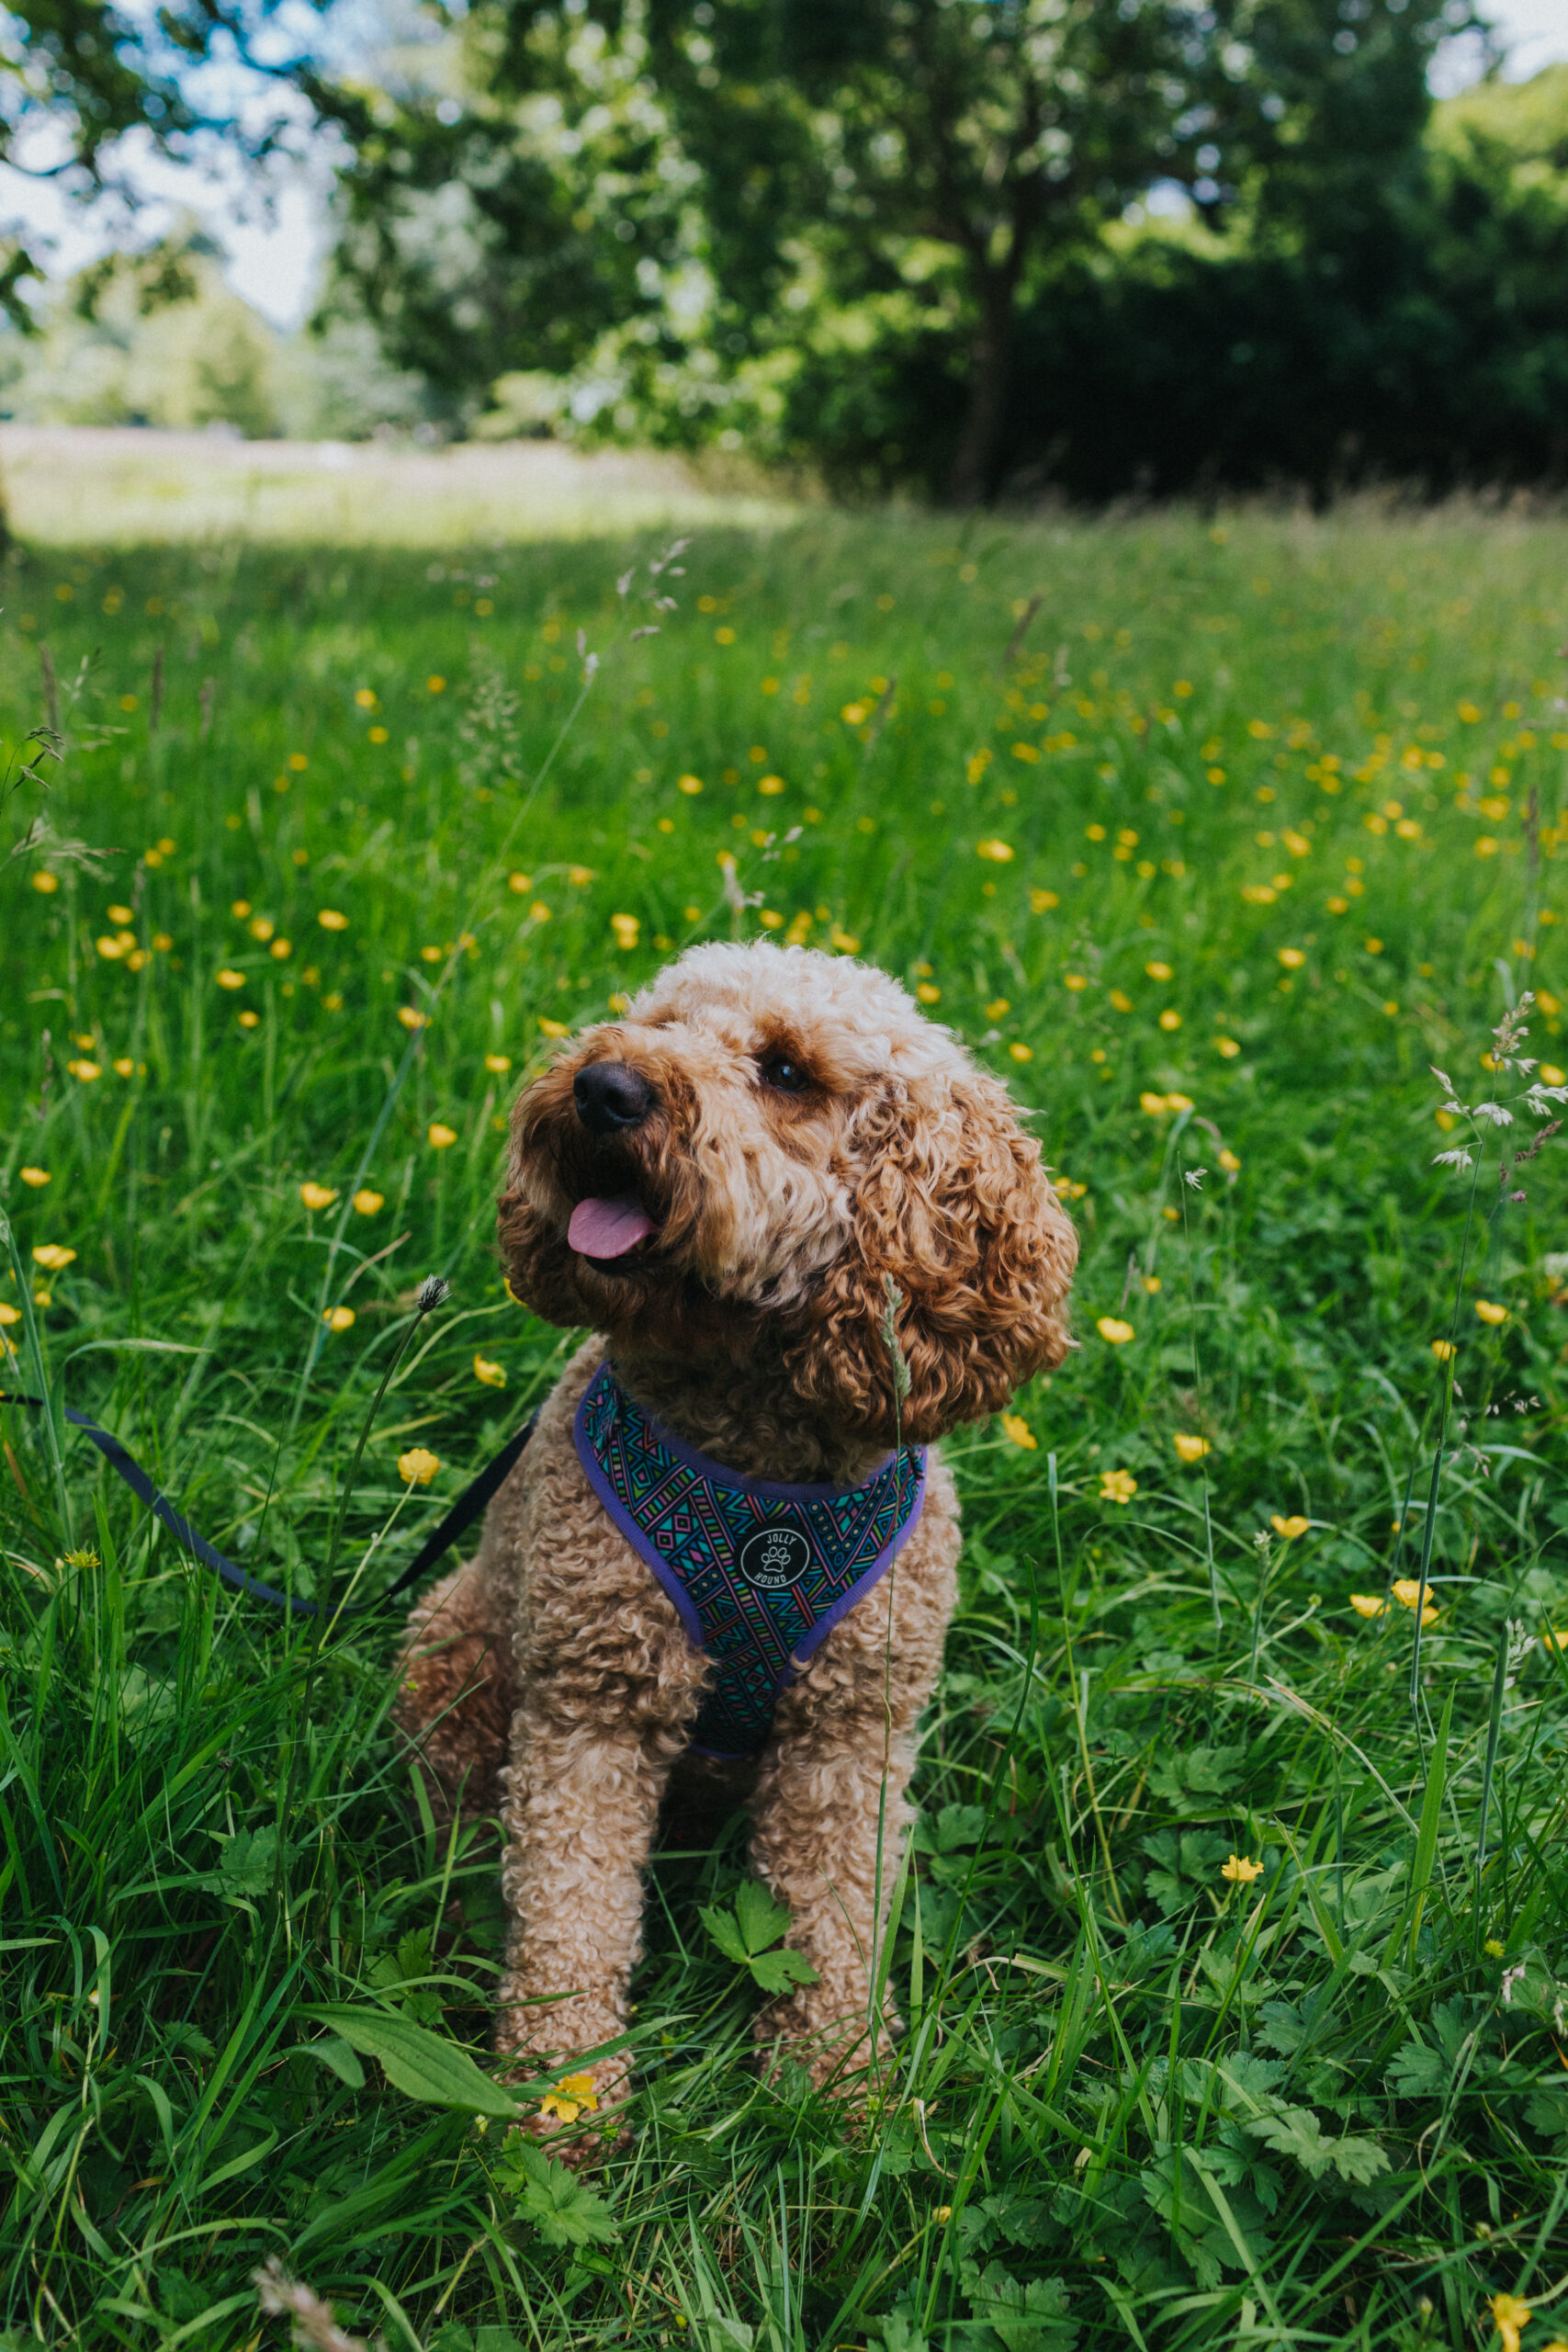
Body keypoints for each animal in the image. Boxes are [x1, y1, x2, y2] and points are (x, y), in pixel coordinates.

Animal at [394, 941, 1081, 2135]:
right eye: (661, 1021)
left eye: (788, 1070)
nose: (605, 1087)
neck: (760, 1470)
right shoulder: (590, 1707)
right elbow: (570, 1915)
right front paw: (563, 2107)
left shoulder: (850, 1737)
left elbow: (838, 1924)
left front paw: (839, 2094)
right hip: (456, 1647)